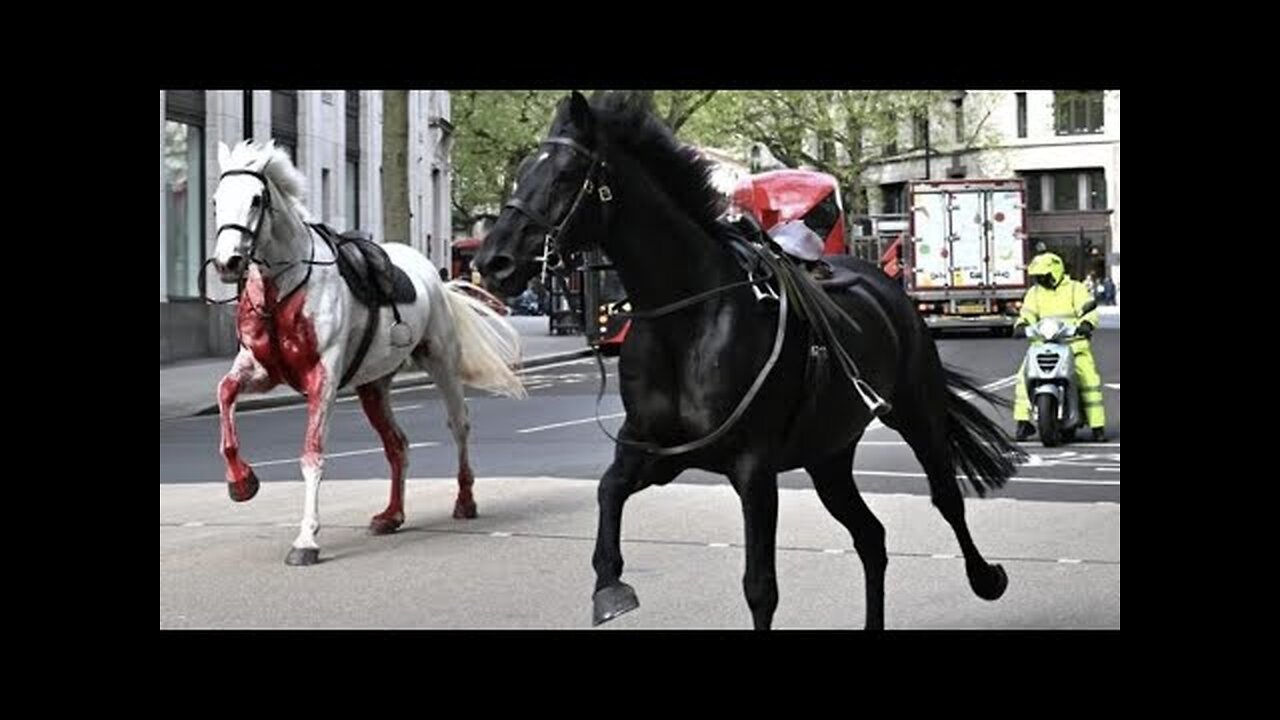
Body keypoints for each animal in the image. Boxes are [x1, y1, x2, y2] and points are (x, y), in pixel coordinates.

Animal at [209, 140, 524, 563]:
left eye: (257, 199)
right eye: (215, 200)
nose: (227, 263)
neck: (284, 287)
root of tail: (433, 274)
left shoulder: (322, 378)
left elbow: (312, 455)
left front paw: (306, 539)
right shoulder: (261, 369)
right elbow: (225, 394)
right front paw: (242, 482)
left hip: (441, 361)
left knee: (459, 424)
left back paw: (465, 500)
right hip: (373, 385)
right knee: (397, 444)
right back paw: (391, 515)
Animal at [476, 90, 1024, 627]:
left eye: (566, 174)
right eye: (522, 171)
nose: (491, 261)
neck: (687, 321)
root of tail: (884, 283)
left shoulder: (754, 468)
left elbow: (760, 587)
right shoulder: (654, 452)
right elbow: (608, 491)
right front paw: (610, 586)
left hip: (916, 412)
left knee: (945, 498)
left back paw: (987, 577)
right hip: (827, 455)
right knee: (871, 537)